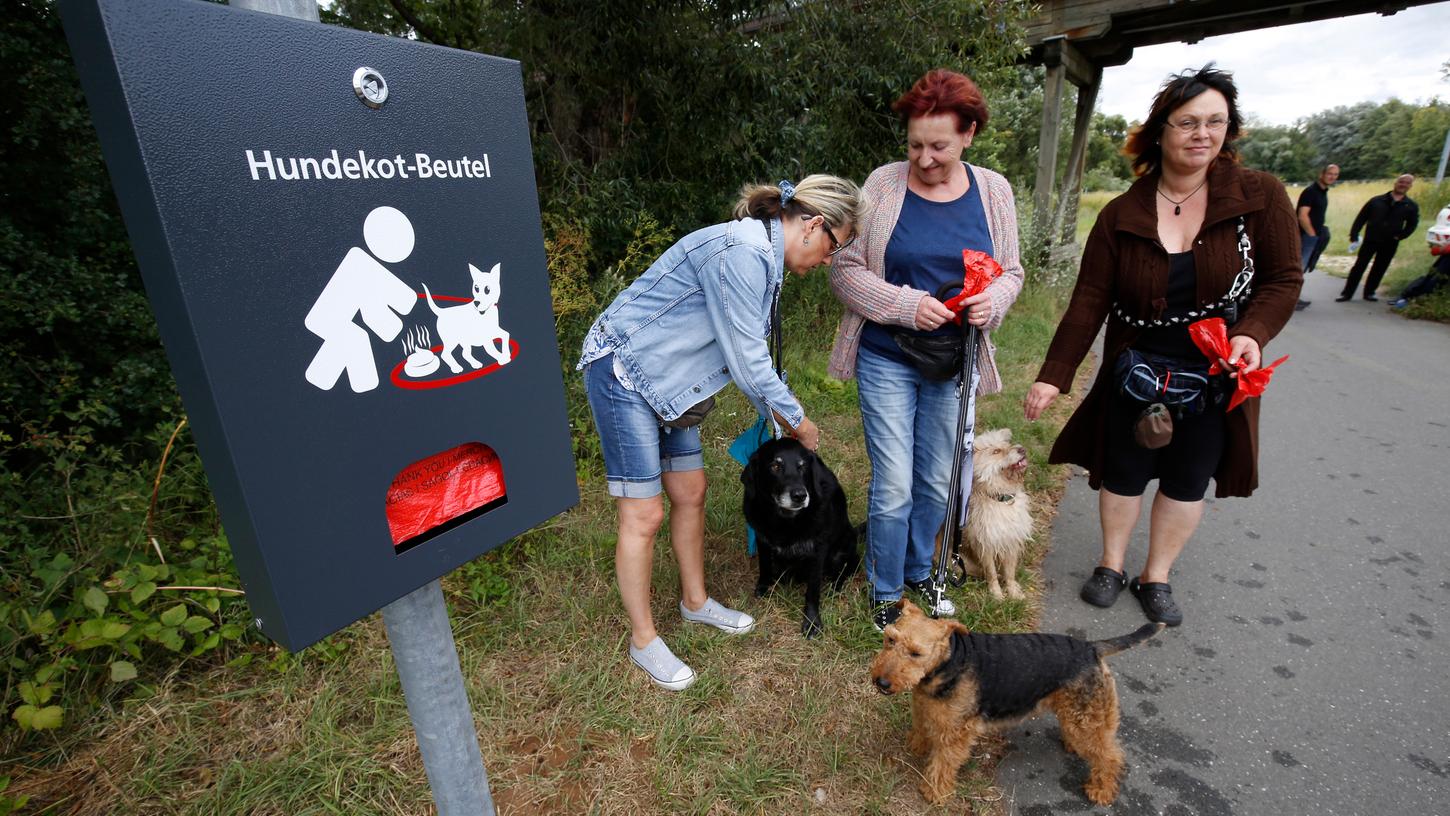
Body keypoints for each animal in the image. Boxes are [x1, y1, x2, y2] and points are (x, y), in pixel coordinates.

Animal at [742, 440, 852, 637]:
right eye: (775, 466)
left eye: (802, 466)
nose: (800, 495)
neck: (786, 521)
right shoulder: (762, 539)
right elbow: (764, 566)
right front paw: (763, 587)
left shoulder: (818, 552)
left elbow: (813, 590)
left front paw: (812, 622)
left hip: (841, 552)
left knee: (844, 572)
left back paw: (834, 589)